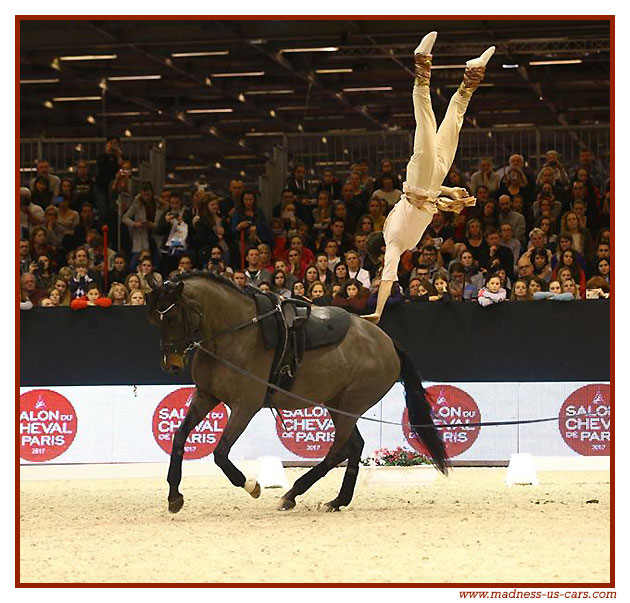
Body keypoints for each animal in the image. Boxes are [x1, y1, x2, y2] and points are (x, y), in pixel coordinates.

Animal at [147, 274, 450, 516]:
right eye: (154, 320)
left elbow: (221, 454)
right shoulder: (206, 396)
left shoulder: (245, 407)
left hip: (352, 404)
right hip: (336, 404)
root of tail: (387, 342)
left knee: (336, 452)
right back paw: (337, 500)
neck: (234, 334)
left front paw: (252, 486)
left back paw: (292, 494)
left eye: (173, 318)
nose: (171, 364)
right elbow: (179, 439)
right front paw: (174, 496)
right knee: (354, 447)